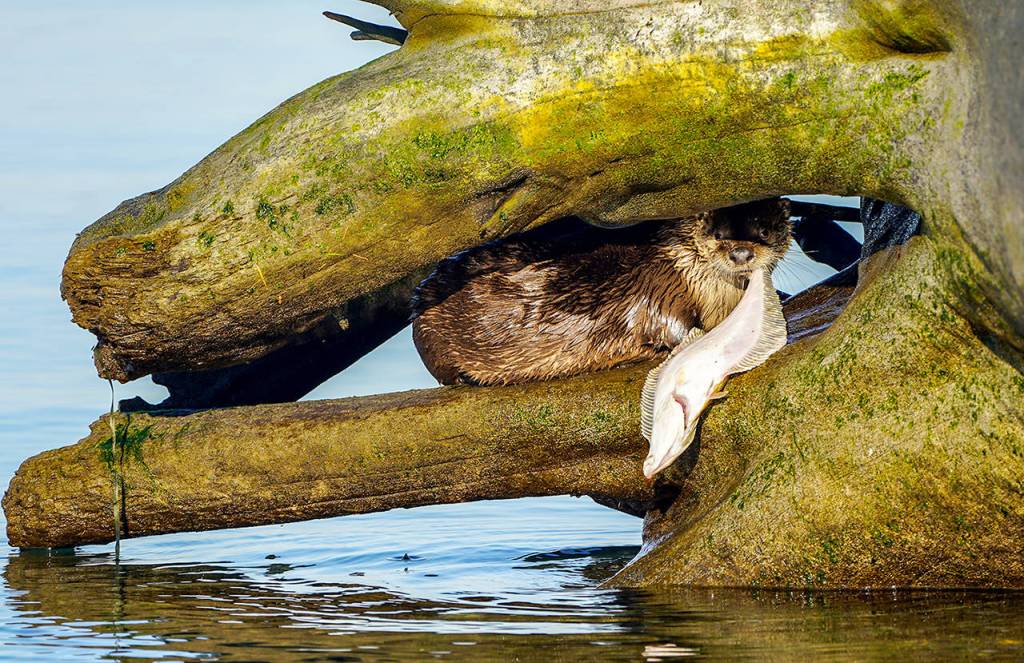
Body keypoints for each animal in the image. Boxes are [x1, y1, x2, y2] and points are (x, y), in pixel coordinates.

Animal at [411, 198, 792, 386]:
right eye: (717, 233)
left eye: (765, 231)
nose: (740, 253)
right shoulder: (660, 284)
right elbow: (668, 323)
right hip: (431, 334)